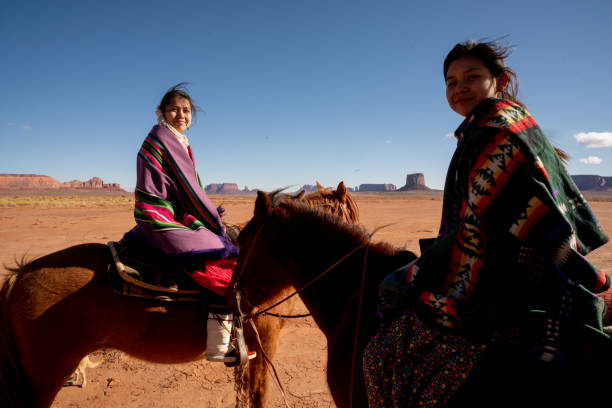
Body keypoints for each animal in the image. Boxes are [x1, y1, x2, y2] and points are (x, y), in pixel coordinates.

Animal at [0, 182, 358, 408]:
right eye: (351, 218)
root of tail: (20, 275)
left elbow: (244, 393)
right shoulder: (265, 341)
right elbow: (258, 395)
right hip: (45, 377)